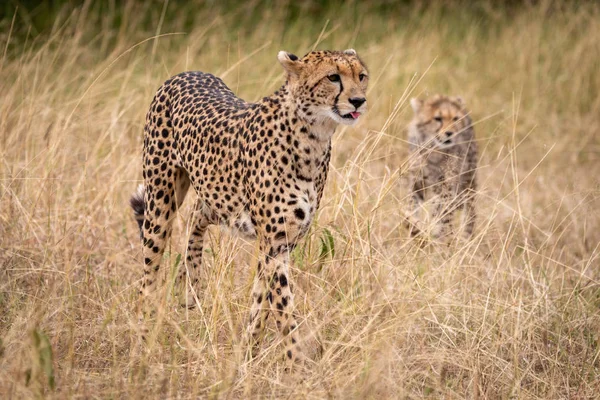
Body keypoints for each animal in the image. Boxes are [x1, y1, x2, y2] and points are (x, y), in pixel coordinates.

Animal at [129, 49, 368, 366]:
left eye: (361, 76)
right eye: (333, 77)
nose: (358, 100)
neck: (313, 136)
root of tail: (186, 73)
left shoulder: (282, 242)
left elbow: (262, 299)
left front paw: (248, 352)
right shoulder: (274, 243)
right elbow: (283, 309)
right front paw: (296, 365)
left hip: (217, 198)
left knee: (196, 216)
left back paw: (191, 286)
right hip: (161, 199)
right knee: (148, 272)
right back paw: (143, 339)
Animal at [408, 96, 478, 241]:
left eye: (455, 119)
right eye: (437, 118)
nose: (450, 133)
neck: (434, 149)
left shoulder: (447, 186)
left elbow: (445, 214)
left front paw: (446, 238)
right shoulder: (417, 182)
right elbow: (410, 206)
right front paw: (413, 227)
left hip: (468, 181)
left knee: (469, 213)